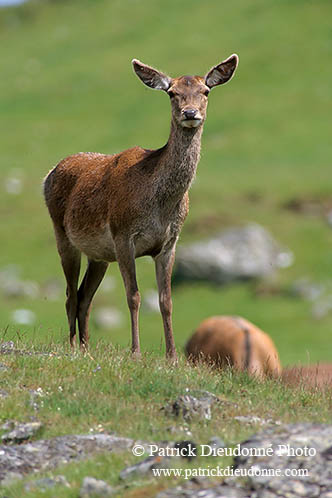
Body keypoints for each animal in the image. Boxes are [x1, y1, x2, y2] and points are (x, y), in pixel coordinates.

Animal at [44, 54, 239, 360]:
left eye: (206, 91)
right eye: (172, 93)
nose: (190, 113)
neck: (160, 206)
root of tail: (50, 172)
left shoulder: (169, 243)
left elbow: (166, 300)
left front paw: (172, 356)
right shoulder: (123, 235)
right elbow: (133, 296)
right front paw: (135, 352)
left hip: (99, 255)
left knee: (85, 296)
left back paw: (87, 348)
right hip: (62, 234)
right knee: (70, 294)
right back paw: (73, 347)